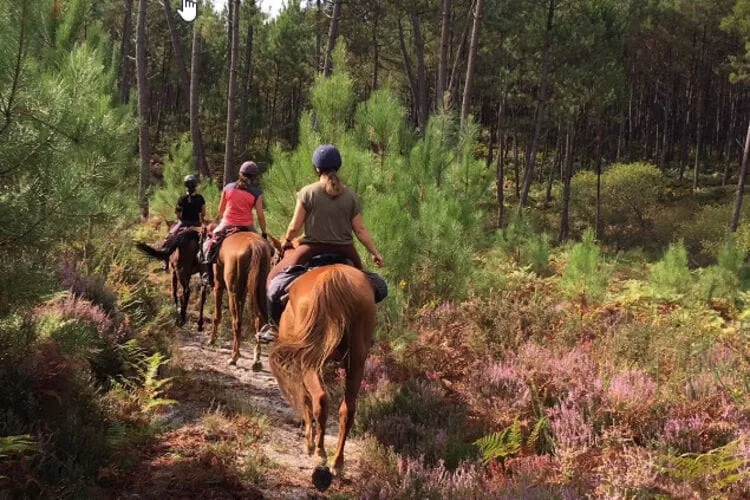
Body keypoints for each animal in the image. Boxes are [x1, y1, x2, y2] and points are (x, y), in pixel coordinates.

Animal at [200, 231, 274, 368]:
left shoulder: (218, 285)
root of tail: (253, 244)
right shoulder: (243, 292)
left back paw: (234, 357)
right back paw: (256, 359)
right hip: (258, 287)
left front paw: (212, 340)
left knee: (237, 322)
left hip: (232, 292)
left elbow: (217, 316)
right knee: (258, 320)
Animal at [268, 266, 376, 480]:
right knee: (347, 409)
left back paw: (319, 453)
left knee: (320, 399)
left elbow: (305, 399)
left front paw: (309, 443)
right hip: (357, 361)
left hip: (310, 362)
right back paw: (338, 463)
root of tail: (335, 277)